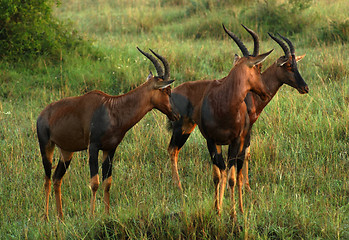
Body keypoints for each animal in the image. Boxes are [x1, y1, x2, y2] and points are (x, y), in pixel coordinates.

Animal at [38, 47, 177, 219]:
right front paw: (91, 215)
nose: (176, 115)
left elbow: (107, 182)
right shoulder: (93, 147)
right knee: (47, 179)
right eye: (167, 90)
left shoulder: (110, 149)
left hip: (66, 152)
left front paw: (106, 214)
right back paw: (46, 217)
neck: (111, 109)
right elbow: (94, 183)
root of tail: (42, 114)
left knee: (57, 178)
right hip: (46, 147)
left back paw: (61, 217)